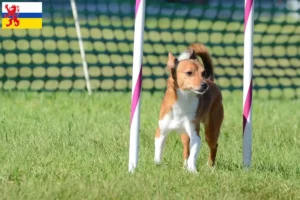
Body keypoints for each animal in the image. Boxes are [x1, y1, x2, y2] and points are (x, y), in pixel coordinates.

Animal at [155, 43, 223, 173]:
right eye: (189, 73)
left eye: (202, 73)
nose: (204, 85)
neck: (183, 100)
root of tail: (210, 80)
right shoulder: (161, 131)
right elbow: (158, 150)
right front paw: (157, 165)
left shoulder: (195, 135)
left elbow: (193, 155)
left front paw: (193, 171)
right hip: (185, 135)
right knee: (186, 149)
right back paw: (185, 166)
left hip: (211, 131)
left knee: (214, 146)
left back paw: (210, 165)